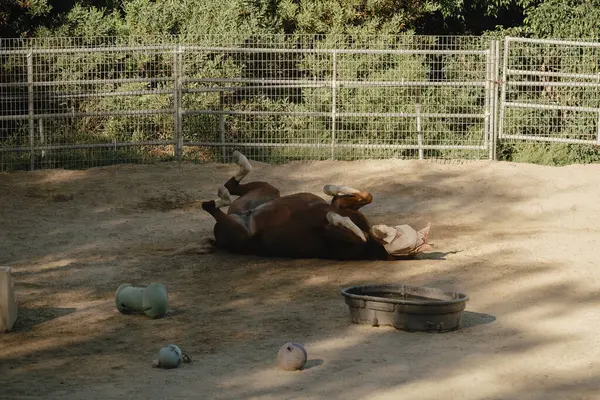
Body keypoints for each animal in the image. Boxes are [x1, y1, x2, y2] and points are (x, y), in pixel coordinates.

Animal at [197, 152, 432, 260]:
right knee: (228, 189)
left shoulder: (342, 239)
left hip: (239, 230)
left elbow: (342, 225)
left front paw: (340, 220)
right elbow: (364, 196)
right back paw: (238, 163)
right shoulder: (342, 206)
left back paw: (222, 197)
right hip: (268, 192)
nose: (380, 230)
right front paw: (331, 188)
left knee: (210, 206)